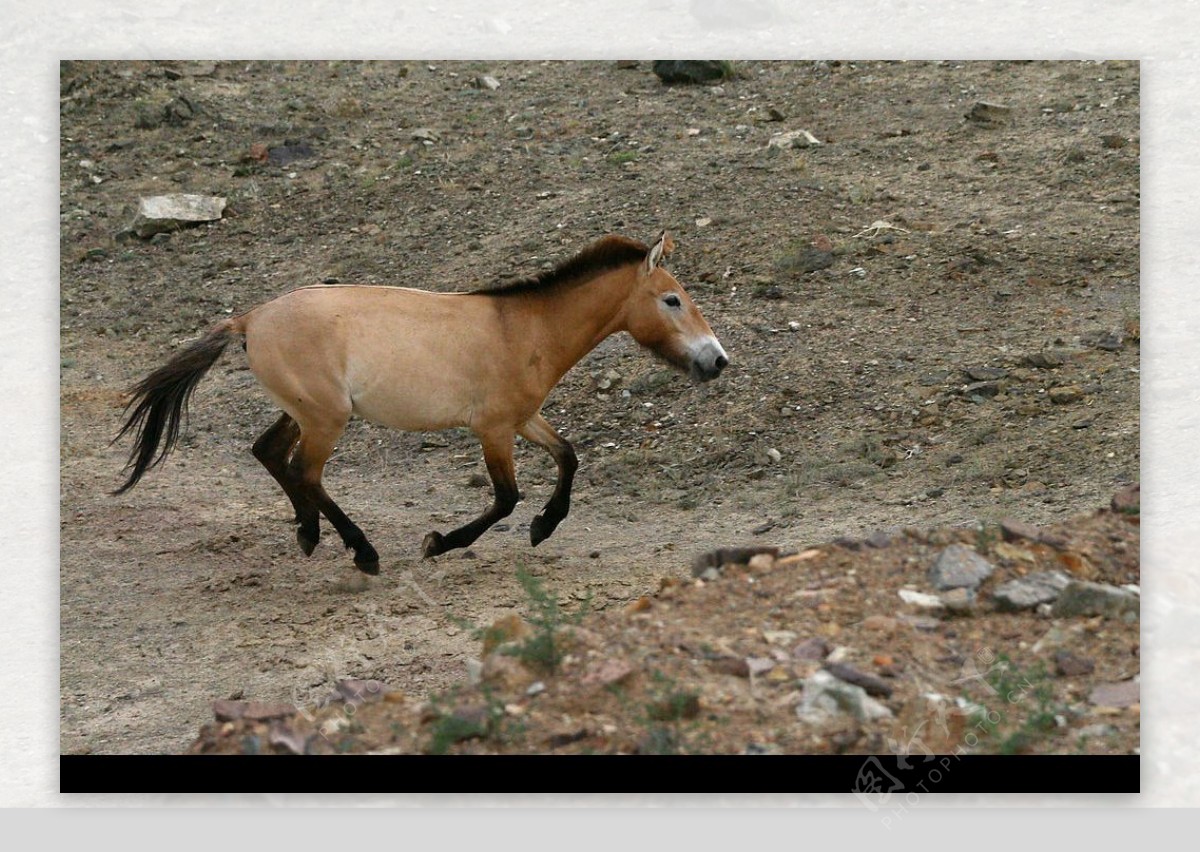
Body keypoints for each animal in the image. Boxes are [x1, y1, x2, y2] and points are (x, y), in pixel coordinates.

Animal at [114, 230, 729, 573]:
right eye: (672, 300)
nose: (717, 360)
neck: (524, 330)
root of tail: (249, 319)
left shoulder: (523, 418)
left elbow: (568, 455)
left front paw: (544, 526)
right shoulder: (493, 429)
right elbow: (505, 498)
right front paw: (440, 543)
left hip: (304, 411)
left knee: (270, 454)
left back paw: (309, 534)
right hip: (326, 417)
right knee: (305, 472)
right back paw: (362, 552)